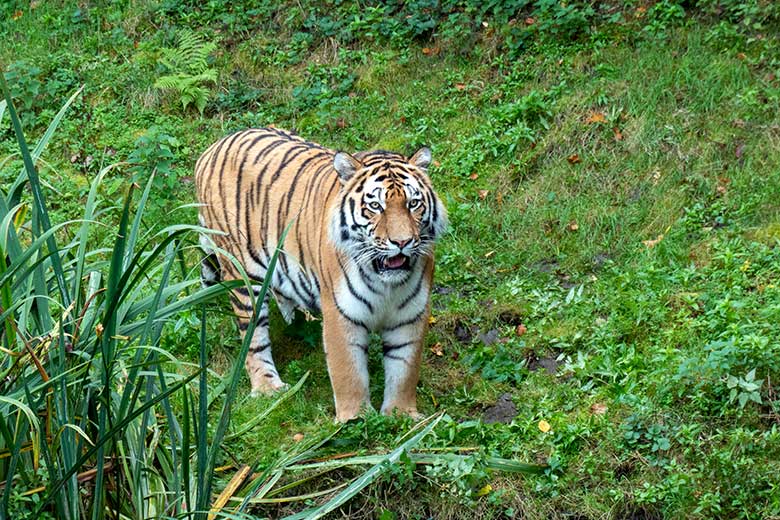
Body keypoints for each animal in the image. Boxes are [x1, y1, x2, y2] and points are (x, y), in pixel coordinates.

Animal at [193, 127, 444, 422]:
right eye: (375, 206)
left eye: (414, 203)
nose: (402, 242)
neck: (387, 286)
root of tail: (211, 149)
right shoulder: (341, 313)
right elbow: (349, 373)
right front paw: (355, 418)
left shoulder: (410, 315)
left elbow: (404, 370)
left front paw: (401, 415)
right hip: (243, 277)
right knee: (253, 339)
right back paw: (268, 388)